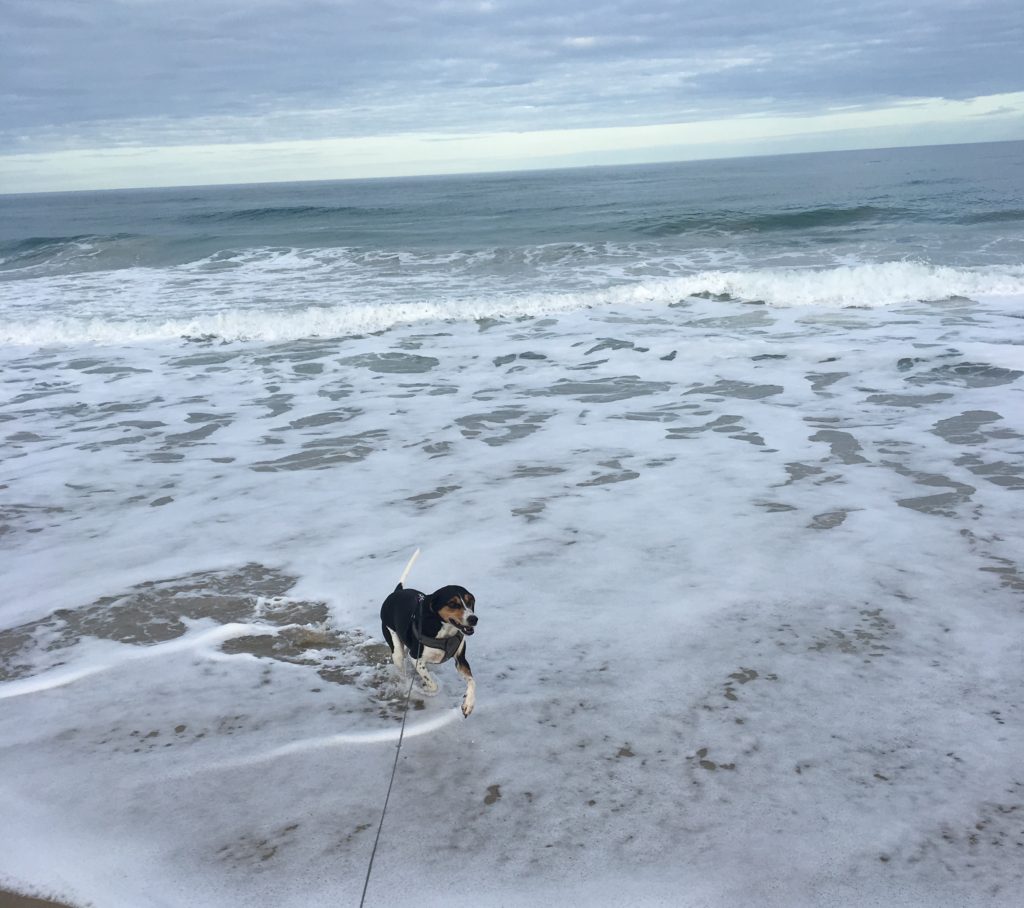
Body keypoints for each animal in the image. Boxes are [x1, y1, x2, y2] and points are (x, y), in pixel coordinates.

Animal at [382, 581, 477, 716]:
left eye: (470, 601)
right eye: (452, 604)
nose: (473, 619)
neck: (445, 631)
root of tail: (397, 591)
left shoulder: (461, 659)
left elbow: (472, 681)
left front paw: (468, 703)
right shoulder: (415, 658)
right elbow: (433, 685)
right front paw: (425, 687)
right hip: (395, 648)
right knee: (402, 671)